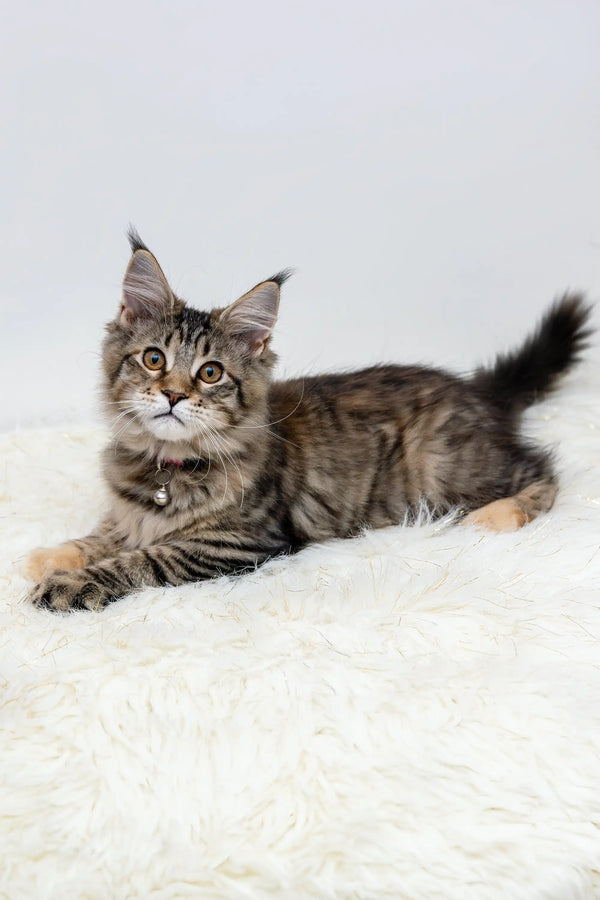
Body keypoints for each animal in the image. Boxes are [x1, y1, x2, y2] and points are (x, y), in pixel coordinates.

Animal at [27, 232, 592, 612]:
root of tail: (477, 389)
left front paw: (68, 585)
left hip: (448, 467)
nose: (172, 395)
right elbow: (104, 534)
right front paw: (53, 555)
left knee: (544, 469)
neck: (165, 469)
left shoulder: (237, 542)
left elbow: (144, 559)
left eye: (210, 373)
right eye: (153, 359)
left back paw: (499, 516)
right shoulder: (129, 513)